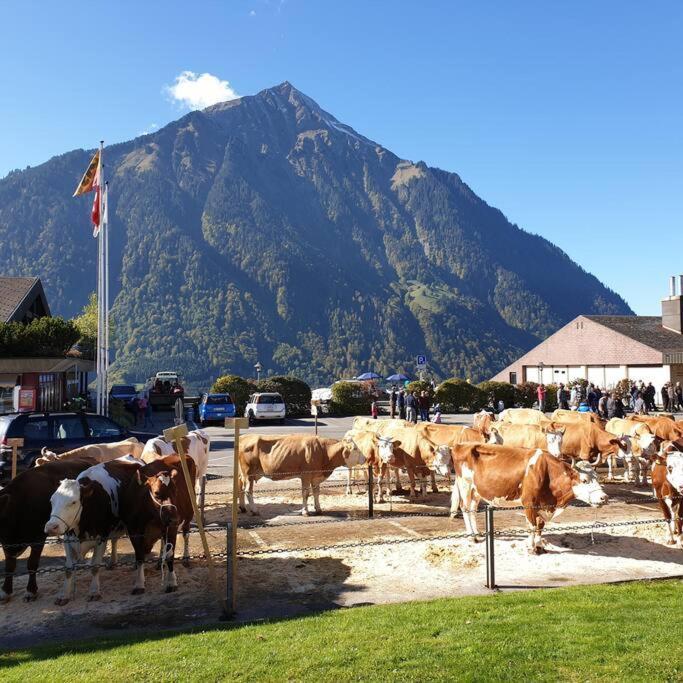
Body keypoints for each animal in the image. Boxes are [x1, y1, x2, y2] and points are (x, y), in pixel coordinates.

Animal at [0, 456, 97, 600]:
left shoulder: (38, 538)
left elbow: (32, 563)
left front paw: (31, 591)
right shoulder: (7, 544)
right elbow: (9, 566)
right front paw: (6, 591)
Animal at [452, 444, 608, 556]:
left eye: (597, 477)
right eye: (584, 480)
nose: (604, 497)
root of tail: (460, 445)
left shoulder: (543, 506)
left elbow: (540, 526)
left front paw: (539, 547)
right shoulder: (529, 503)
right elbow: (532, 526)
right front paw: (530, 548)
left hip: (476, 491)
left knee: (472, 509)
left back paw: (477, 534)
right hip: (465, 485)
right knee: (465, 508)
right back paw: (471, 536)